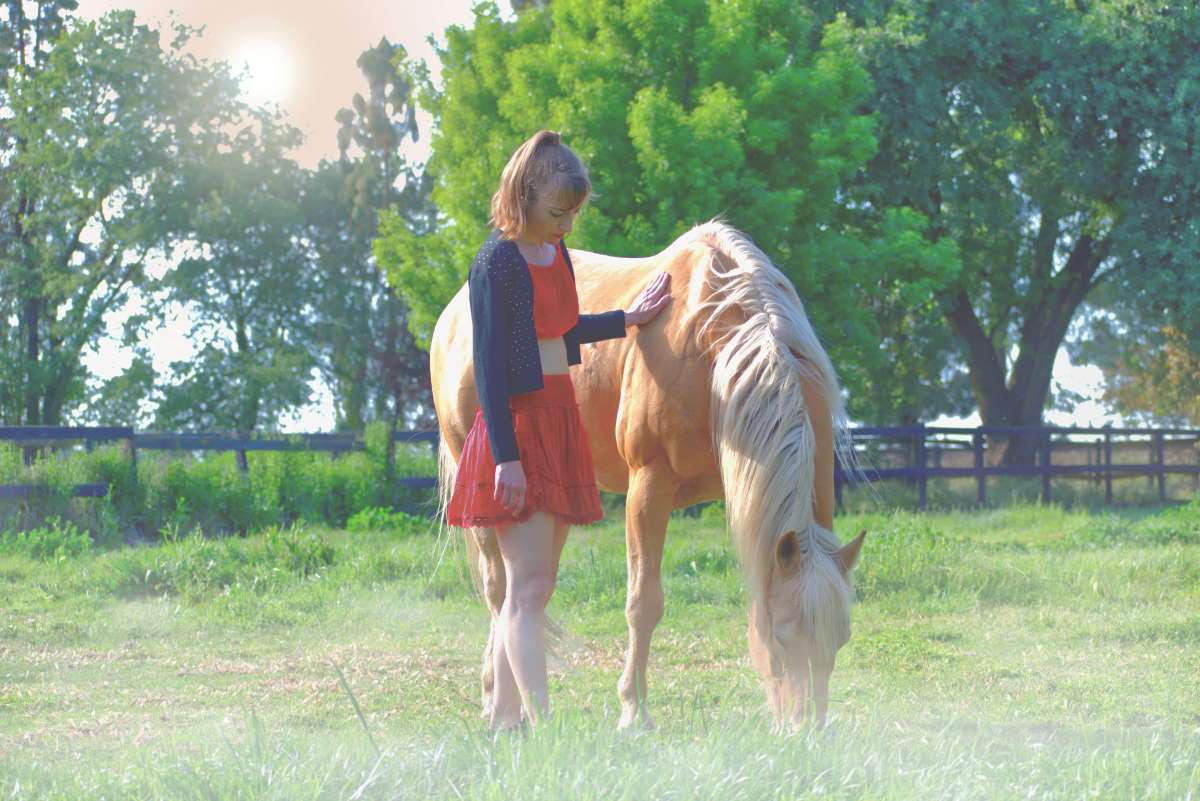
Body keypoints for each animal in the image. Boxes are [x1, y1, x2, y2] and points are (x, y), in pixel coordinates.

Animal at [430, 221, 865, 730]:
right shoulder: (649, 487)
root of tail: (454, 312)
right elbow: (643, 603)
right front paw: (634, 712)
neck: (715, 348)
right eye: (780, 636)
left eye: (841, 639)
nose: (806, 729)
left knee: (527, 595)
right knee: (499, 592)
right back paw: (500, 704)